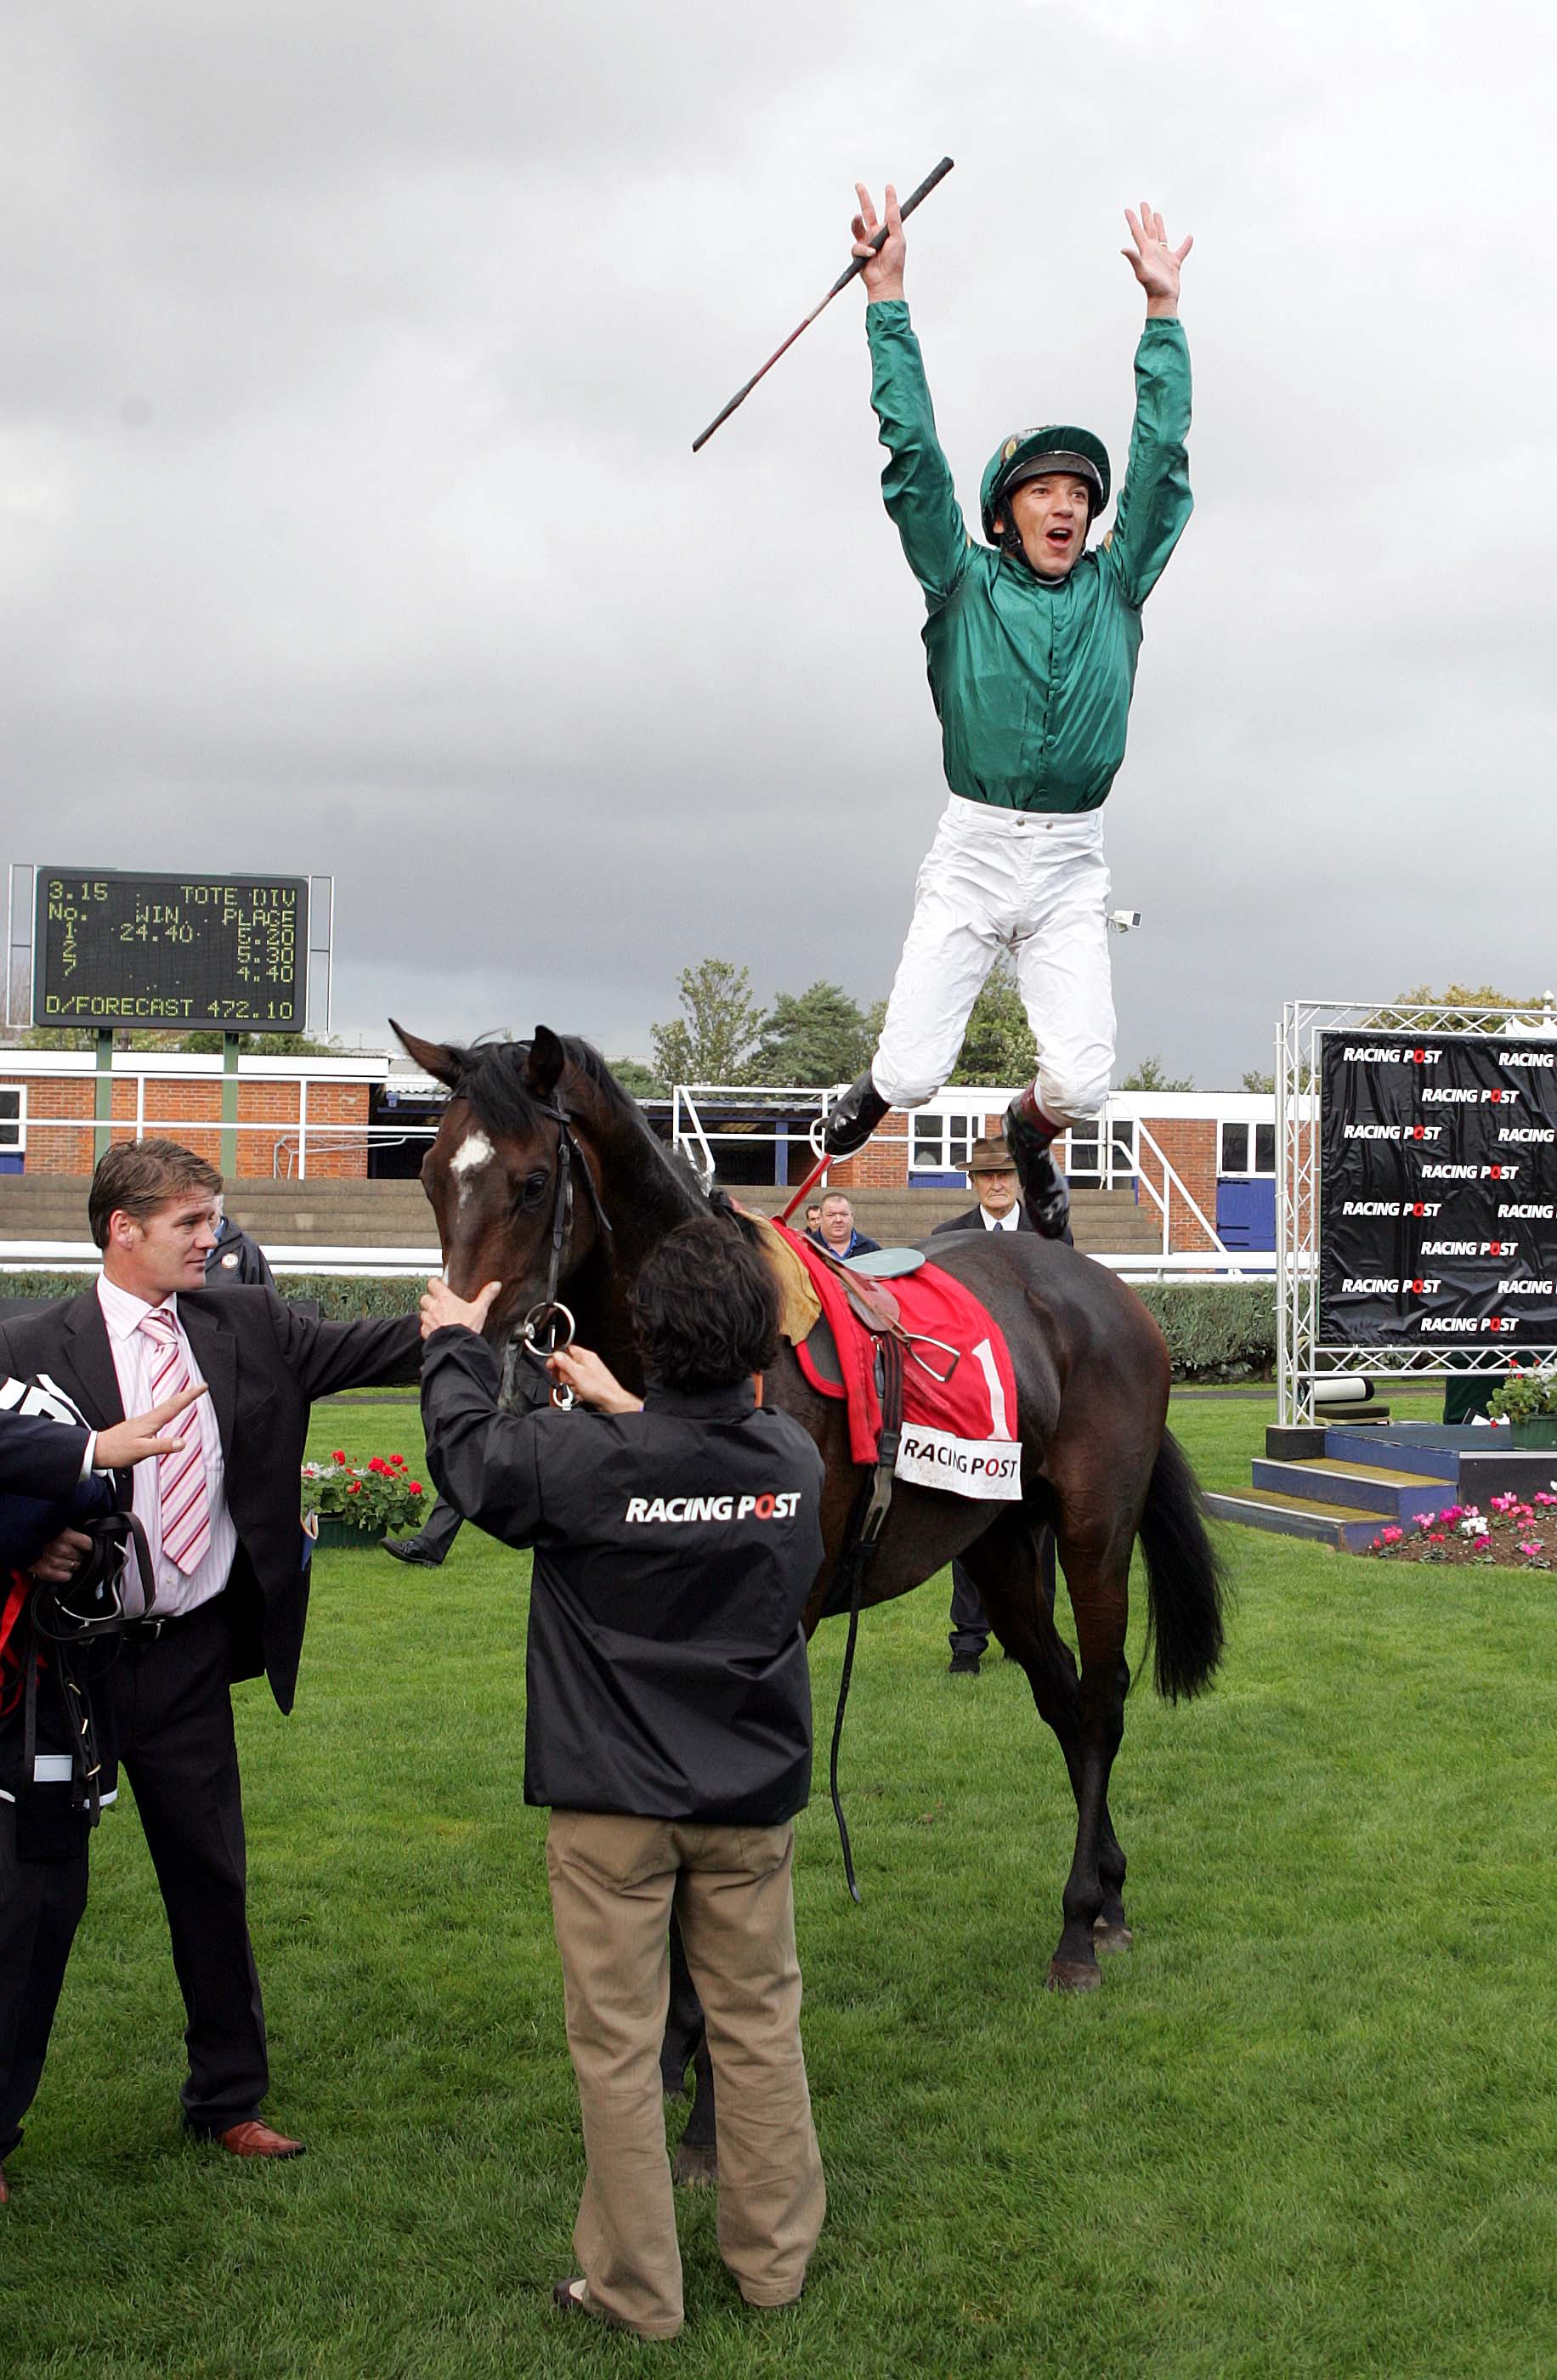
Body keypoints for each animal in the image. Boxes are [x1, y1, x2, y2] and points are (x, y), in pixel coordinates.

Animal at [399, 1018, 1228, 2161]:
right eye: (433, 1174)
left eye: (530, 1183)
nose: (464, 1345)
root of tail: (1092, 1282)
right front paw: (670, 2050)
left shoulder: (766, 1630)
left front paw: (710, 2095)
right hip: (997, 1545)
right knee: (1061, 1696)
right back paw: (1103, 1897)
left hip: (1091, 1531)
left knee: (1099, 1701)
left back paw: (1074, 1928)